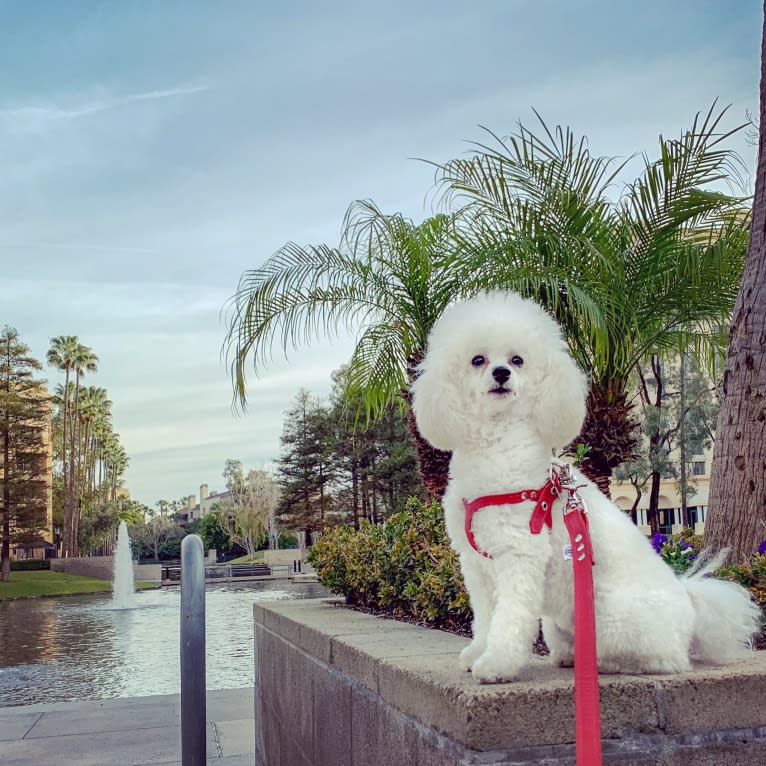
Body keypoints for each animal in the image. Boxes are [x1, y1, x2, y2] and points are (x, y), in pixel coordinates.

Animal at [412, 292, 760, 684]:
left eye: (517, 359)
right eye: (478, 360)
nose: (501, 373)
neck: (497, 446)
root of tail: (690, 604)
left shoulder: (519, 556)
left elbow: (510, 617)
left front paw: (496, 664)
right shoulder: (477, 566)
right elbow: (486, 616)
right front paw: (477, 652)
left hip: (613, 616)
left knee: (666, 659)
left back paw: (607, 662)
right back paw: (568, 655)